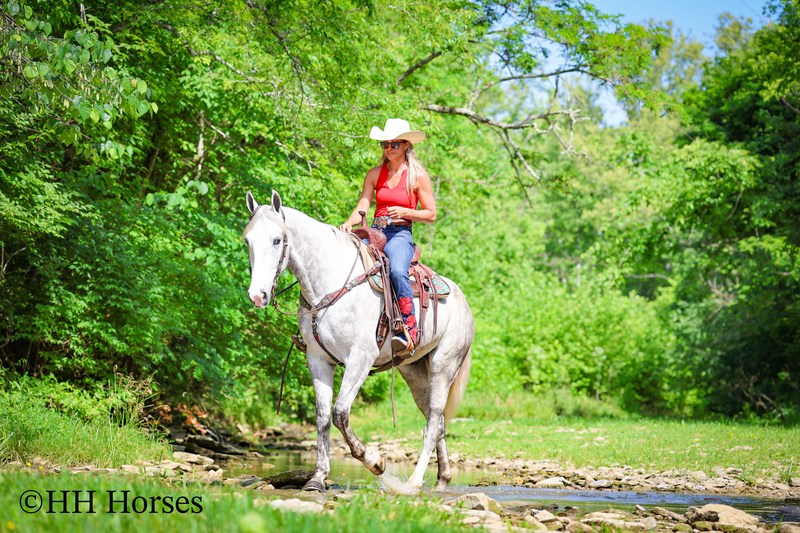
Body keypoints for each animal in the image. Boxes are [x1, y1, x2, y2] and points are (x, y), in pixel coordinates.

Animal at [243, 190, 474, 492]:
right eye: (247, 240)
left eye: (277, 240)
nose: (257, 296)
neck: (328, 283)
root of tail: (462, 299)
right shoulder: (318, 360)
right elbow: (322, 418)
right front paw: (318, 478)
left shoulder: (360, 358)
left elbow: (340, 412)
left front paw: (376, 462)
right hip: (414, 371)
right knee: (437, 422)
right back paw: (442, 479)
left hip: (443, 366)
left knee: (434, 420)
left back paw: (413, 482)